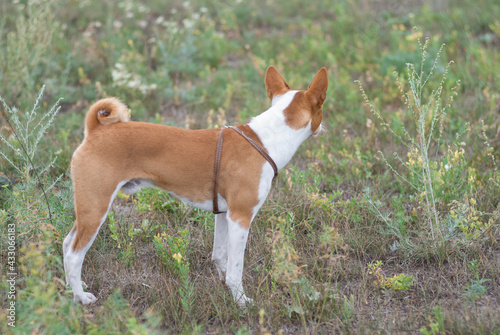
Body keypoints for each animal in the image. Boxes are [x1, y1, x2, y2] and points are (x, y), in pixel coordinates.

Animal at [62, 65, 328, 308]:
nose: (323, 129)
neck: (265, 140)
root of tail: (95, 131)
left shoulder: (224, 214)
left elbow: (220, 257)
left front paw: (224, 288)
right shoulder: (240, 217)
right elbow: (236, 269)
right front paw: (240, 300)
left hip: (86, 209)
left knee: (67, 244)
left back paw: (72, 286)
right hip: (96, 210)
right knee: (75, 254)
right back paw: (81, 298)